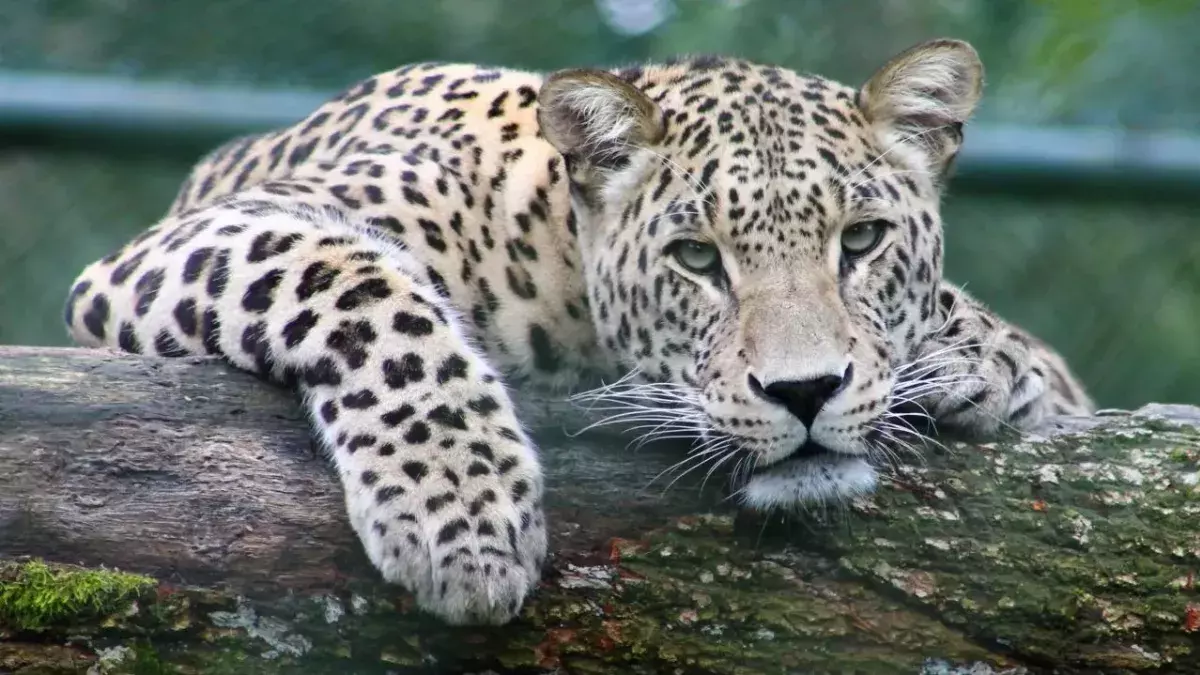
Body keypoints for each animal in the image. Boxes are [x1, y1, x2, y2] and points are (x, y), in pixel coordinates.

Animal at [62, 38, 1093, 626]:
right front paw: (462, 515)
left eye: (864, 240)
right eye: (696, 258)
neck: (553, 250)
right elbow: (362, 287)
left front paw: (986, 357)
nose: (804, 392)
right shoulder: (189, 242)